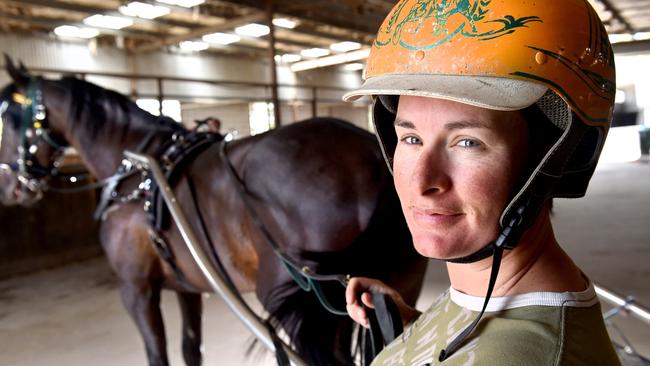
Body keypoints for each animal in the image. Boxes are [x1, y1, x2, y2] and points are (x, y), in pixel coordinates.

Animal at [0, 61, 428, 364]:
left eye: (6, 116)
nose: (9, 186)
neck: (137, 169)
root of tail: (372, 156)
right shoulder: (187, 287)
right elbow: (191, 349)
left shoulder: (136, 289)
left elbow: (157, 354)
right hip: (393, 288)